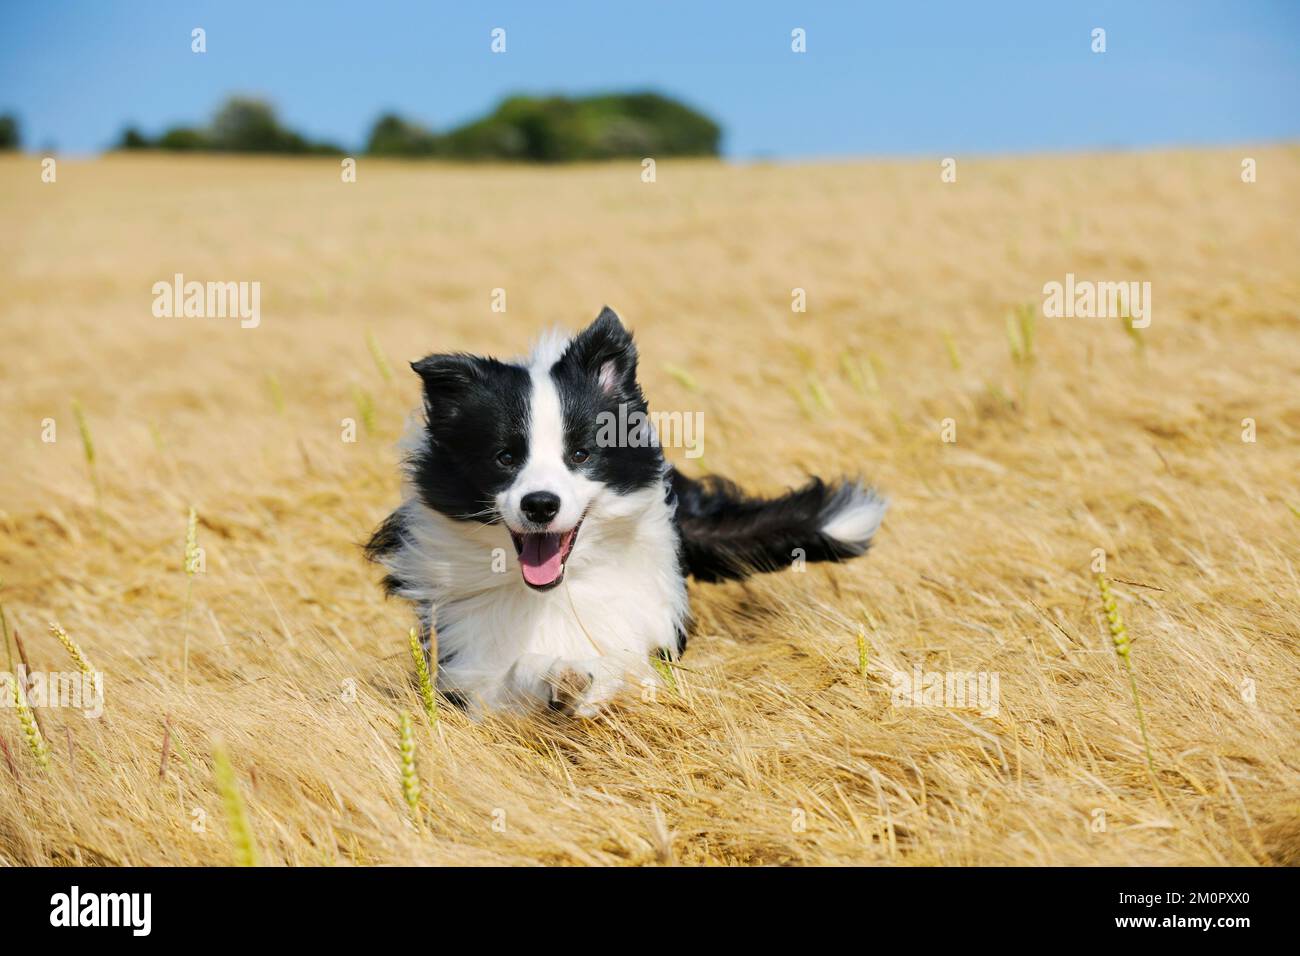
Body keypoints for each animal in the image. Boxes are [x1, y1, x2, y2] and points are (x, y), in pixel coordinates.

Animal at [371, 308, 889, 717]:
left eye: (581, 454)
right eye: (505, 457)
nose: (540, 504)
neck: (559, 589)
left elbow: (620, 668)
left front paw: (578, 680)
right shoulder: (468, 663)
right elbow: (513, 675)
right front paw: (560, 677)